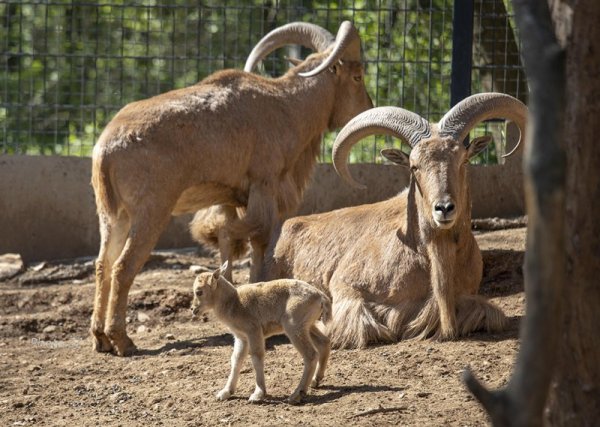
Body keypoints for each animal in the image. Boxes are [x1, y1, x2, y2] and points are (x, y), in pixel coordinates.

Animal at [89, 20, 372, 356]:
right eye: (357, 76)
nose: (368, 108)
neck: (286, 106)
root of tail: (106, 149)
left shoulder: (232, 199)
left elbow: (229, 244)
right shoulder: (264, 188)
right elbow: (260, 243)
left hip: (113, 216)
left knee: (103, 265)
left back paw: (100, 337)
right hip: (151, 213)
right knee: (123, 267)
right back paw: (122, 339)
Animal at [191, 260, 332, 404]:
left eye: (199, 292)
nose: (193, 309)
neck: (235, 303)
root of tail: (321, 297)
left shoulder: (254, 331)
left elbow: (256, 356)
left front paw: (258, 394)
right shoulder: (241, 337)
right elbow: (236, 359)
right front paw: (225, 393)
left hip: (293, 326)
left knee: (311, 354)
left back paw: (296, 395)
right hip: (306, 326)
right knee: (324, 342)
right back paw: (316, 381)